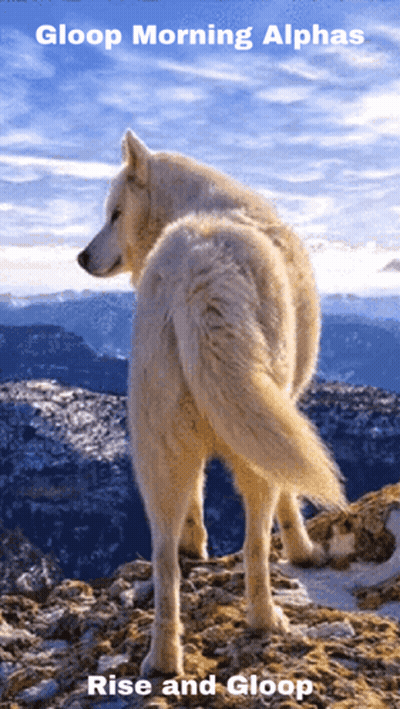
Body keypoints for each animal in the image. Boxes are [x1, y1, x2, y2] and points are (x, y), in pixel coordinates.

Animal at [78, 131, 344, 677]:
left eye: (114, 214)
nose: (80, 257)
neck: (198, 204)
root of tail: (196, 271)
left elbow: (198, 501)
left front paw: (196, 544)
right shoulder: (280, 406)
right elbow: (290, 501)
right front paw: (304, 552)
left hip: (158, 448)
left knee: (163, 560)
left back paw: (163, 657)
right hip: (249, 439)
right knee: (254, 544)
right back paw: (266, 620)